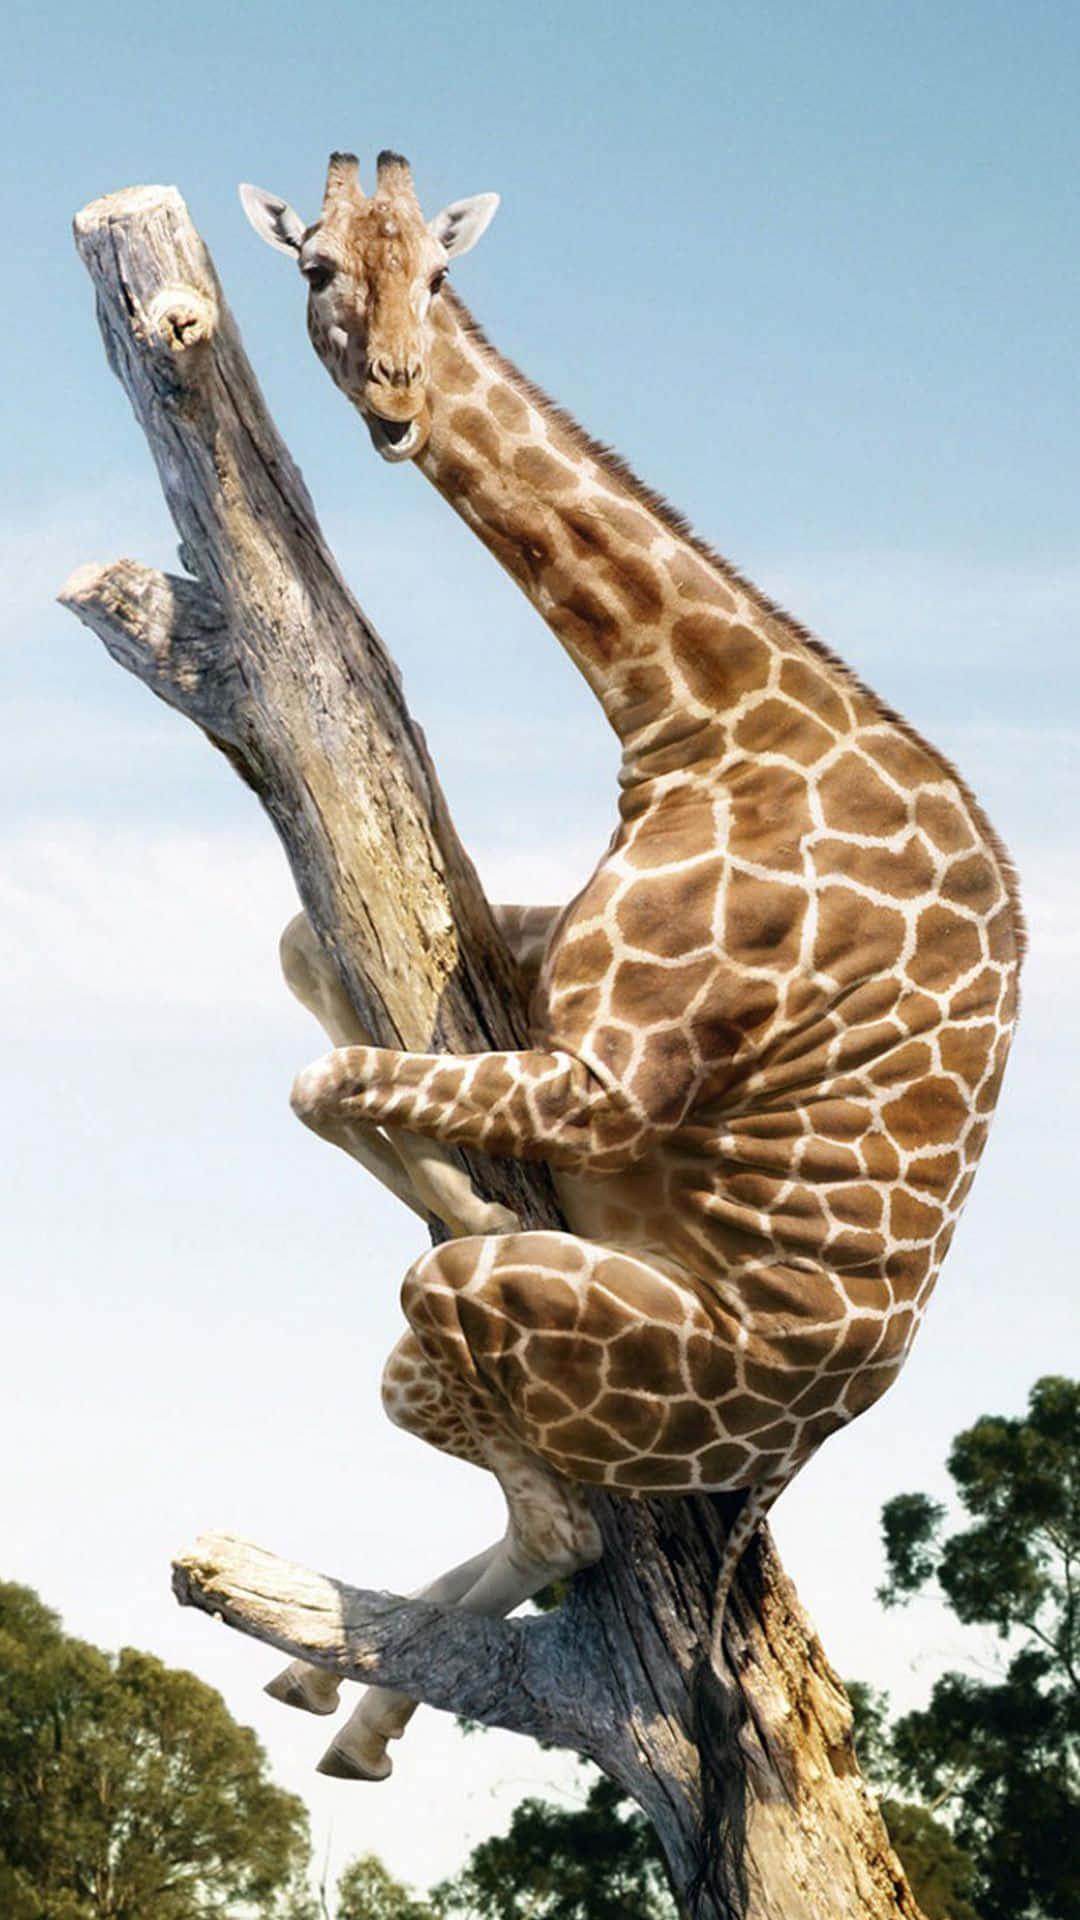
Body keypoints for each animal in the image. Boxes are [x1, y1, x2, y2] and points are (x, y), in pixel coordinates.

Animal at [240, 152, 1024, 1794]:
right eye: (319, 267)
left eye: (441, 277)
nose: (398, 402)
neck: (703, 714)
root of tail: (798, 1445)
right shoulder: (542, 983)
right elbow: (303, 970)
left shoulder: (609, 1080)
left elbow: (325, 1076)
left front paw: (472, 1190)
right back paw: (334, 1697)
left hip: (533, 1342)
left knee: (559, 1511)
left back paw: (353, 1705)